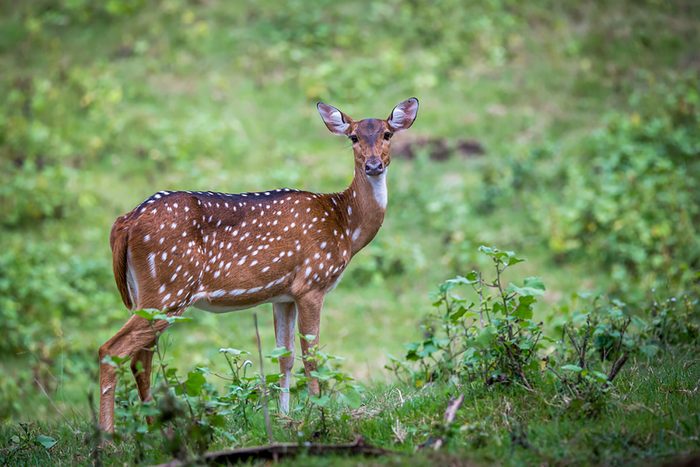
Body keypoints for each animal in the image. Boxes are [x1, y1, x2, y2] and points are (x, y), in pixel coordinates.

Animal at [98, 97, 419, 433]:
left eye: (387, 134)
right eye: (354, 137)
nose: (373, 165)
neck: (344, 224)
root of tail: (125, 222)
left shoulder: (284, 295)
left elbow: (284, 357)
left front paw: (284, 416)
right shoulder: (312, 283)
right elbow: (311, 356)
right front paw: (319, 413)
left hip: (149, 295)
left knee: (140, 358)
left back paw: (156, 428)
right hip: (168, 288)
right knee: (112, 349)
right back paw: (109, 435)